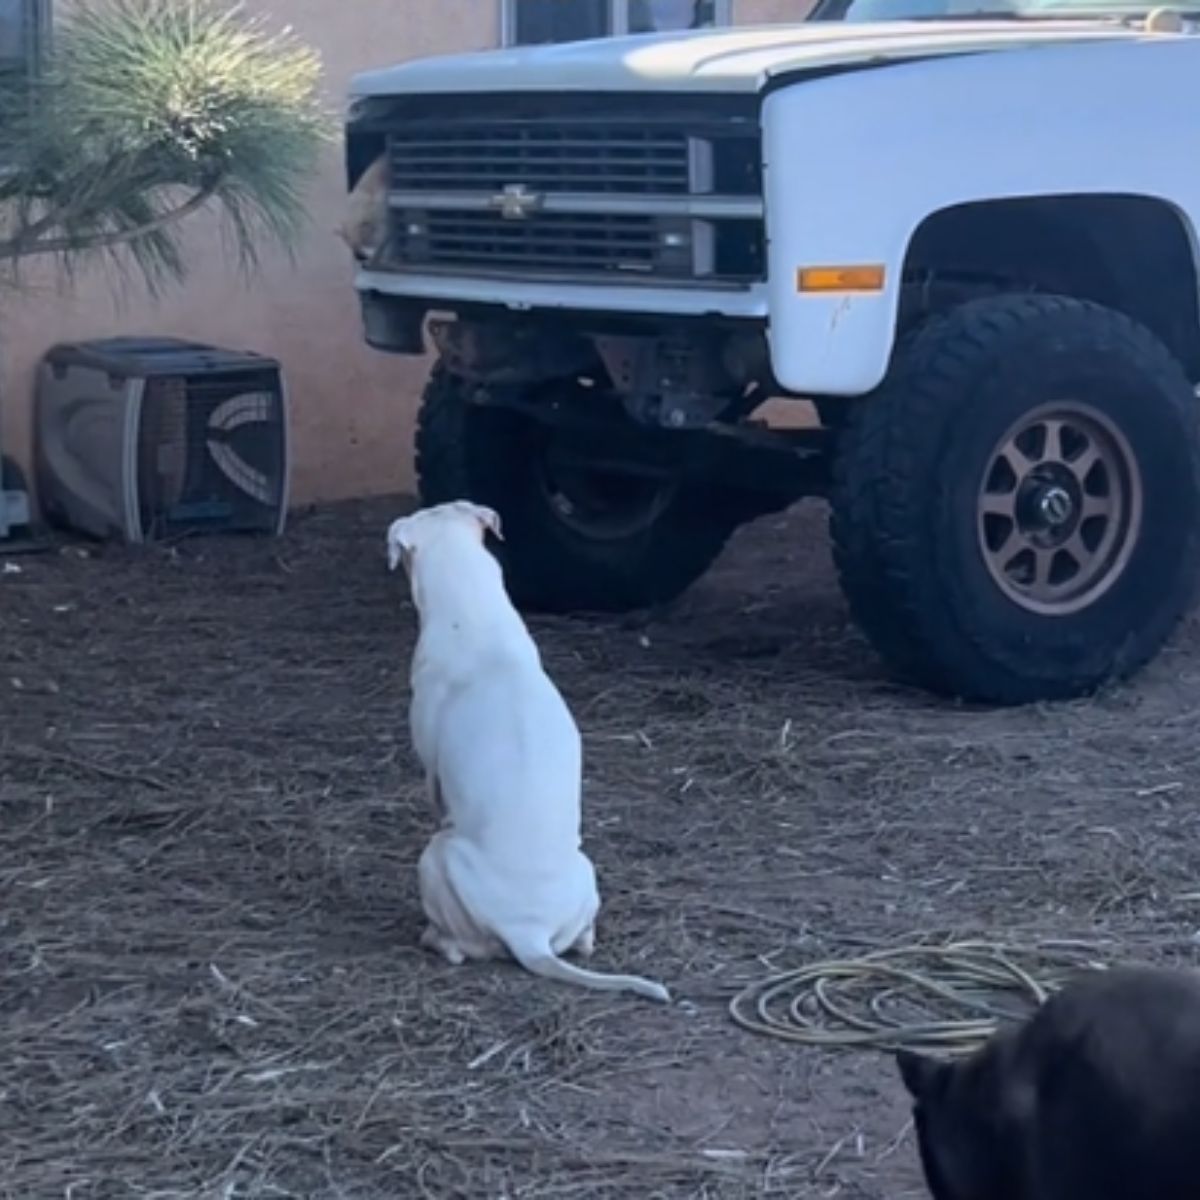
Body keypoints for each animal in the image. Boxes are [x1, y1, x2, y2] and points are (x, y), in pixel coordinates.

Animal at [384, 501, 672, 1008]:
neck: (470, 613)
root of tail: (528, 934)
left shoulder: (432, 773)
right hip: (585, 869)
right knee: (583, 940)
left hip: (436, 858)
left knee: (455, 948)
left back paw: (433, 938)